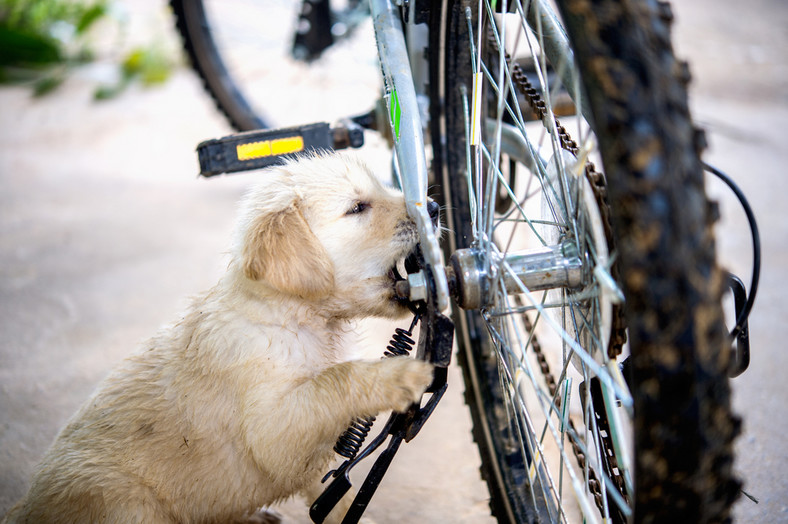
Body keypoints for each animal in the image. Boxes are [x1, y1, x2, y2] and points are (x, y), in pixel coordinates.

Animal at [6, 152, 434, 524]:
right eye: (358, 207)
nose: (432, 204)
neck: (292, 316)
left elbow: (337, 502)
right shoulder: (273, 431)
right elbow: (335, 379)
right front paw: (401, 376)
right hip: (127, 503)